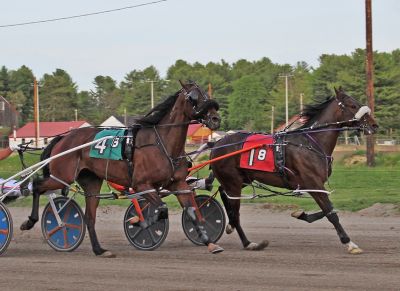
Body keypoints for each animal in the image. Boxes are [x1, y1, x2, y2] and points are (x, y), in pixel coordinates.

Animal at [211, 89, 376, 256]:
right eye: (352, 105)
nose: (374, 125)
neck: (310, 144)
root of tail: (217, 144)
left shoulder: (314, 186)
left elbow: (329, 209)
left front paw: (300, 214)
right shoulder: (313, 183)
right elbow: (331, 213)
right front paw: (349, 243)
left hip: (242, 180)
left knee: (223, 193)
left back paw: (232, 227)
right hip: (233, 182)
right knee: (235, 212)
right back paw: (248, 242)